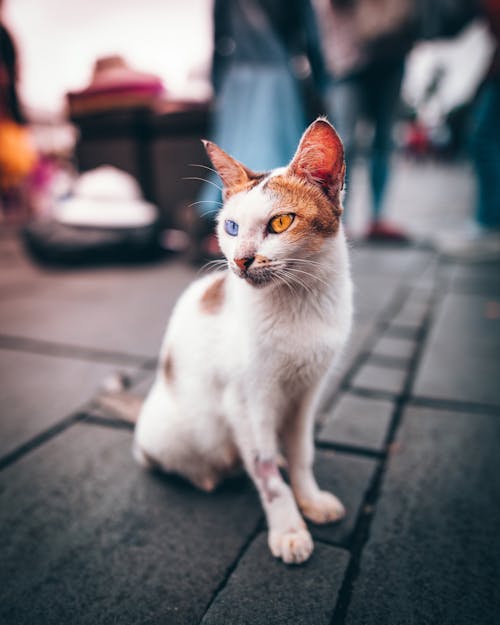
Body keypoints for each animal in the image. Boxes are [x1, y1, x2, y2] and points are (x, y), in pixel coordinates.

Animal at [131, 118, 354, 564]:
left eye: (281, 223)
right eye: (230, 228)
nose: (240, 260)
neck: (300, 303)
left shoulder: (307, 391)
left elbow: (303, 453)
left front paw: (311, 500)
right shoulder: (248, 400)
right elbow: (265, 470)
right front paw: (288, 529)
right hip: (175, 433)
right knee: (161, 458)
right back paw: (214, 473)